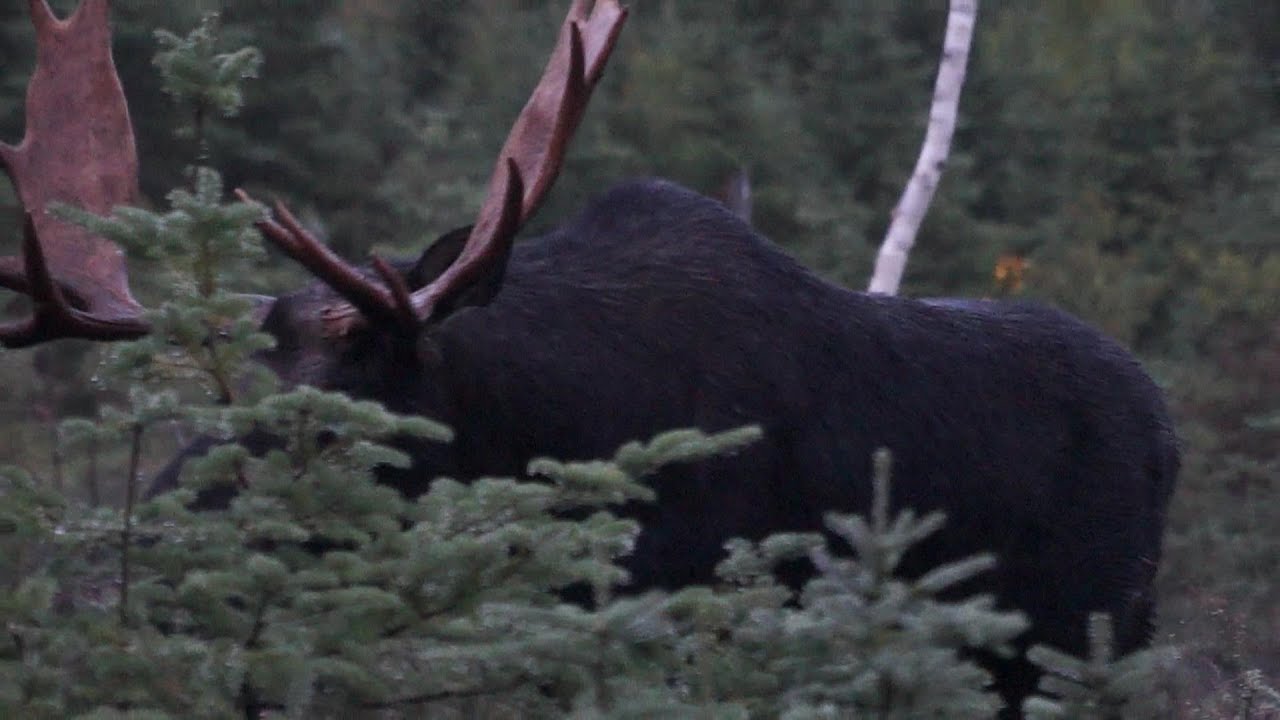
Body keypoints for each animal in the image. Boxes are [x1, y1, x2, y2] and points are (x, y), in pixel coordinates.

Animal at [1, 1, 1178, 714]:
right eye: (234, 391)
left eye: (339, 414)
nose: (149, 534)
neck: (548, 437)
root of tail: (1167, 427)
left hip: (1090, 631)